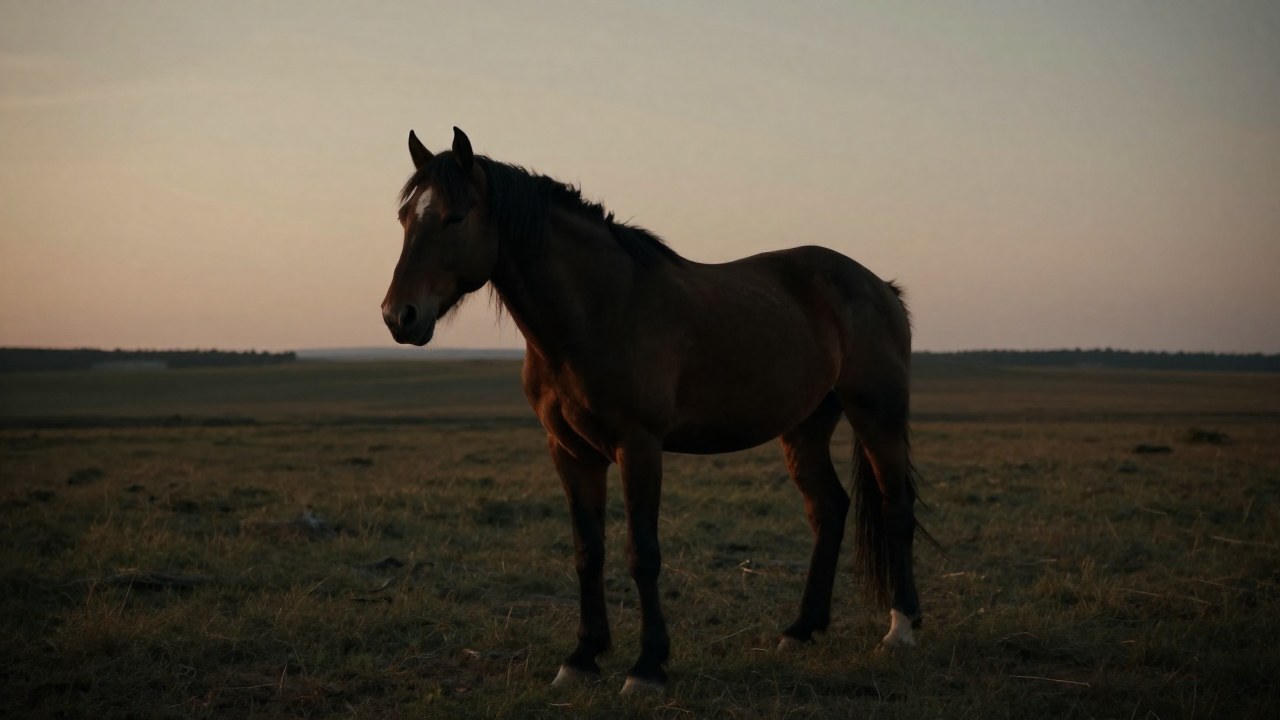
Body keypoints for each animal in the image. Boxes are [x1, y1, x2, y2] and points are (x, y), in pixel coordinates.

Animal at [381, 127, 926, 695]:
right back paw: (801, 630)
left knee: (896, 506)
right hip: (804, 427)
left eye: (455, 217)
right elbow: (588, 551)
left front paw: (647, 667)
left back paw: (901, 629)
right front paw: (583, 657)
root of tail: (880, 287)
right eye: (404, 218)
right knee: (828, 509)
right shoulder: (570, 451)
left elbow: (642, 553)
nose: (400, 316)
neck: (598, 311)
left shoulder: (639, 446)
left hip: (876, 413)